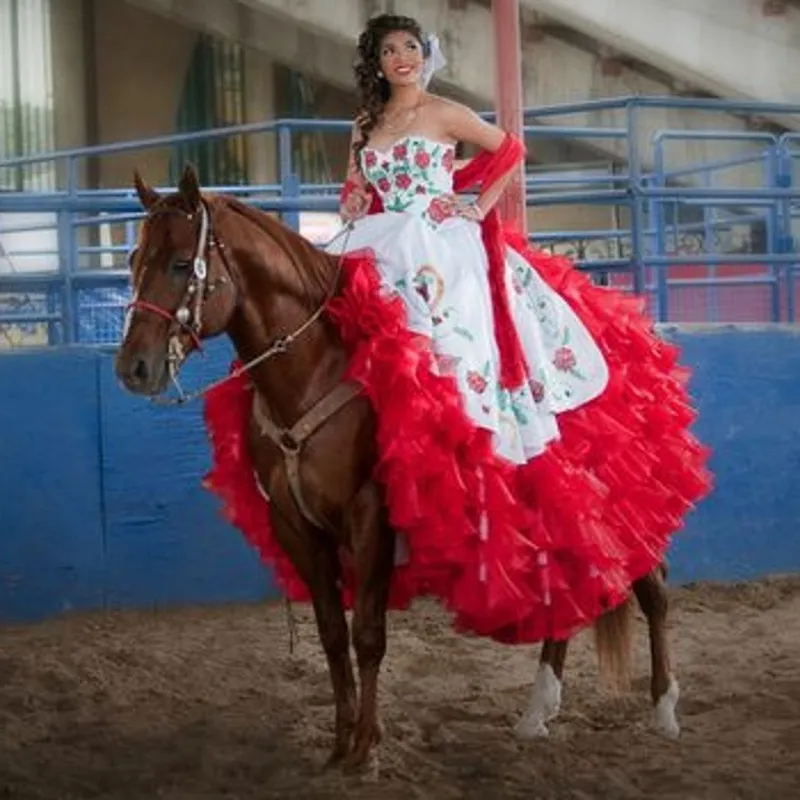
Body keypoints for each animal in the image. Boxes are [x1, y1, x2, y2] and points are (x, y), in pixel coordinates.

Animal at [114, 166, 680, 772]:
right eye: (134, 260)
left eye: (180, 263)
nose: (133, 367)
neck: (318, 364)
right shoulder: (295, 525)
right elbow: (331, 633)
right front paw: (340, 741)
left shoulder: (371, 514)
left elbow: (368, 633)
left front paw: (366, 746)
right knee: (568, 589)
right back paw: (538, 710)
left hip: (620, 498)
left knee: (652, 588)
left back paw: (664, 708)